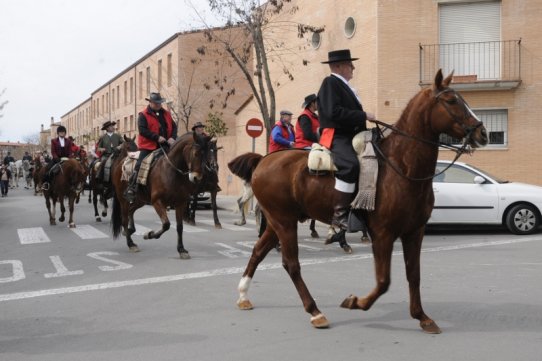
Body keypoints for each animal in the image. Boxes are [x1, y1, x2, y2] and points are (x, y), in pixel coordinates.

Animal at [227, 70, 490, 332]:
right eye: (451, 101)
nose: (483, 133)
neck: (400, 166)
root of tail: (263, 160)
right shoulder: (383, 234)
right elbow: (383, 281)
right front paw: (355, 302)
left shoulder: (415, 231)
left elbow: (413, 275)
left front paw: (422, 317)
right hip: (284, 222)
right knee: (291, 264)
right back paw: (315, 312)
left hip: (278, 222)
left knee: (258, 251)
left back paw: (243, 295)